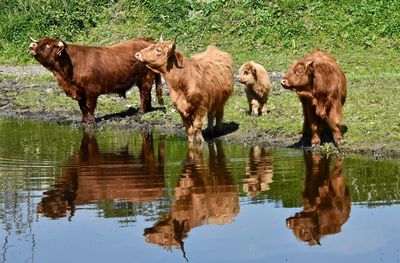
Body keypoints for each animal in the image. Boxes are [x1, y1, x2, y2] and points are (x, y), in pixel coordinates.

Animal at [28, 36, 164, 124]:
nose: (31, 45)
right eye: (39, 41)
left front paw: (91, 121)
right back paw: (147, 110)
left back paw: (140, 112)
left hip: (146, 77)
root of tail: (149, 40)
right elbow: (82, 107)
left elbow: (90, 106)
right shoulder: (80, 91)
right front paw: (84, 121)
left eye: (49, 45)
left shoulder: (91, 91)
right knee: (147, 94)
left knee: (144, 93)